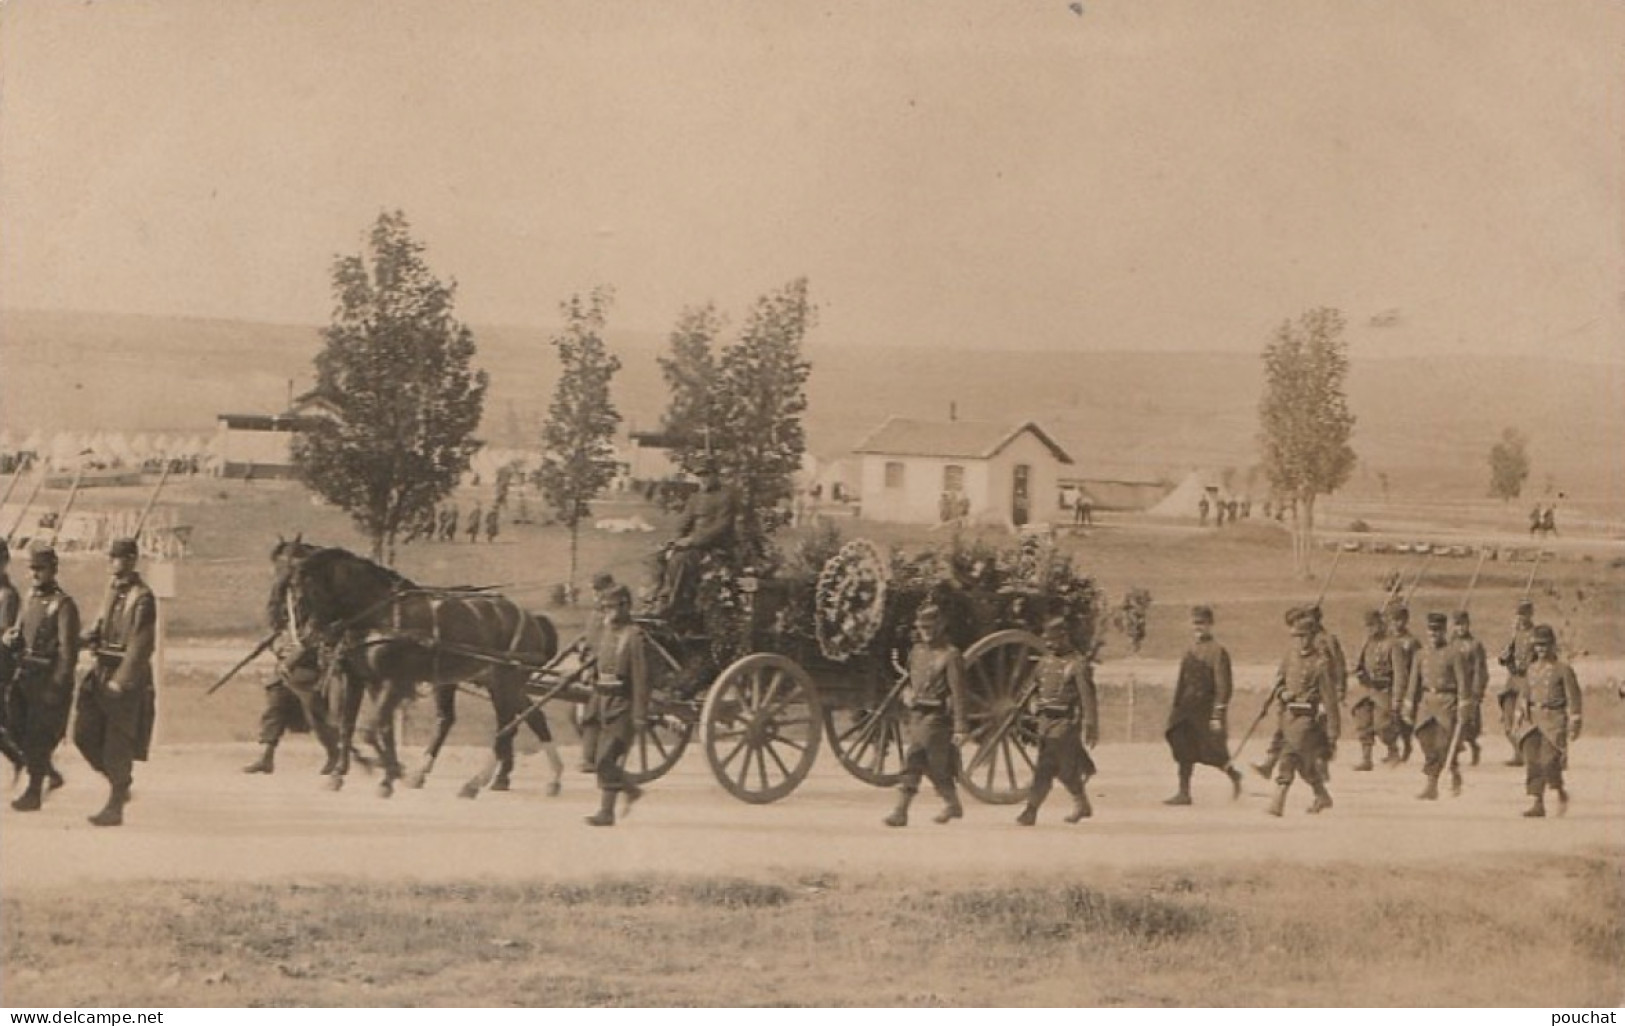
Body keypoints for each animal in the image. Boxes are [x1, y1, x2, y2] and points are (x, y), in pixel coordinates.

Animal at [276, 543, 562, 799]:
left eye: (306, 590)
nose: (303, 637)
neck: (380, 614)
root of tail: (534, 619)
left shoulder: (395, 681)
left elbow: (372, 729)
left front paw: (388, 776)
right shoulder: (358, 679)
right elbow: (351, 726)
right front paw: (342, 774)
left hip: (505, 682)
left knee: (505, 729)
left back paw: (475, 782)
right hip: (492, 682)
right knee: (526, 718)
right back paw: (550, 777)